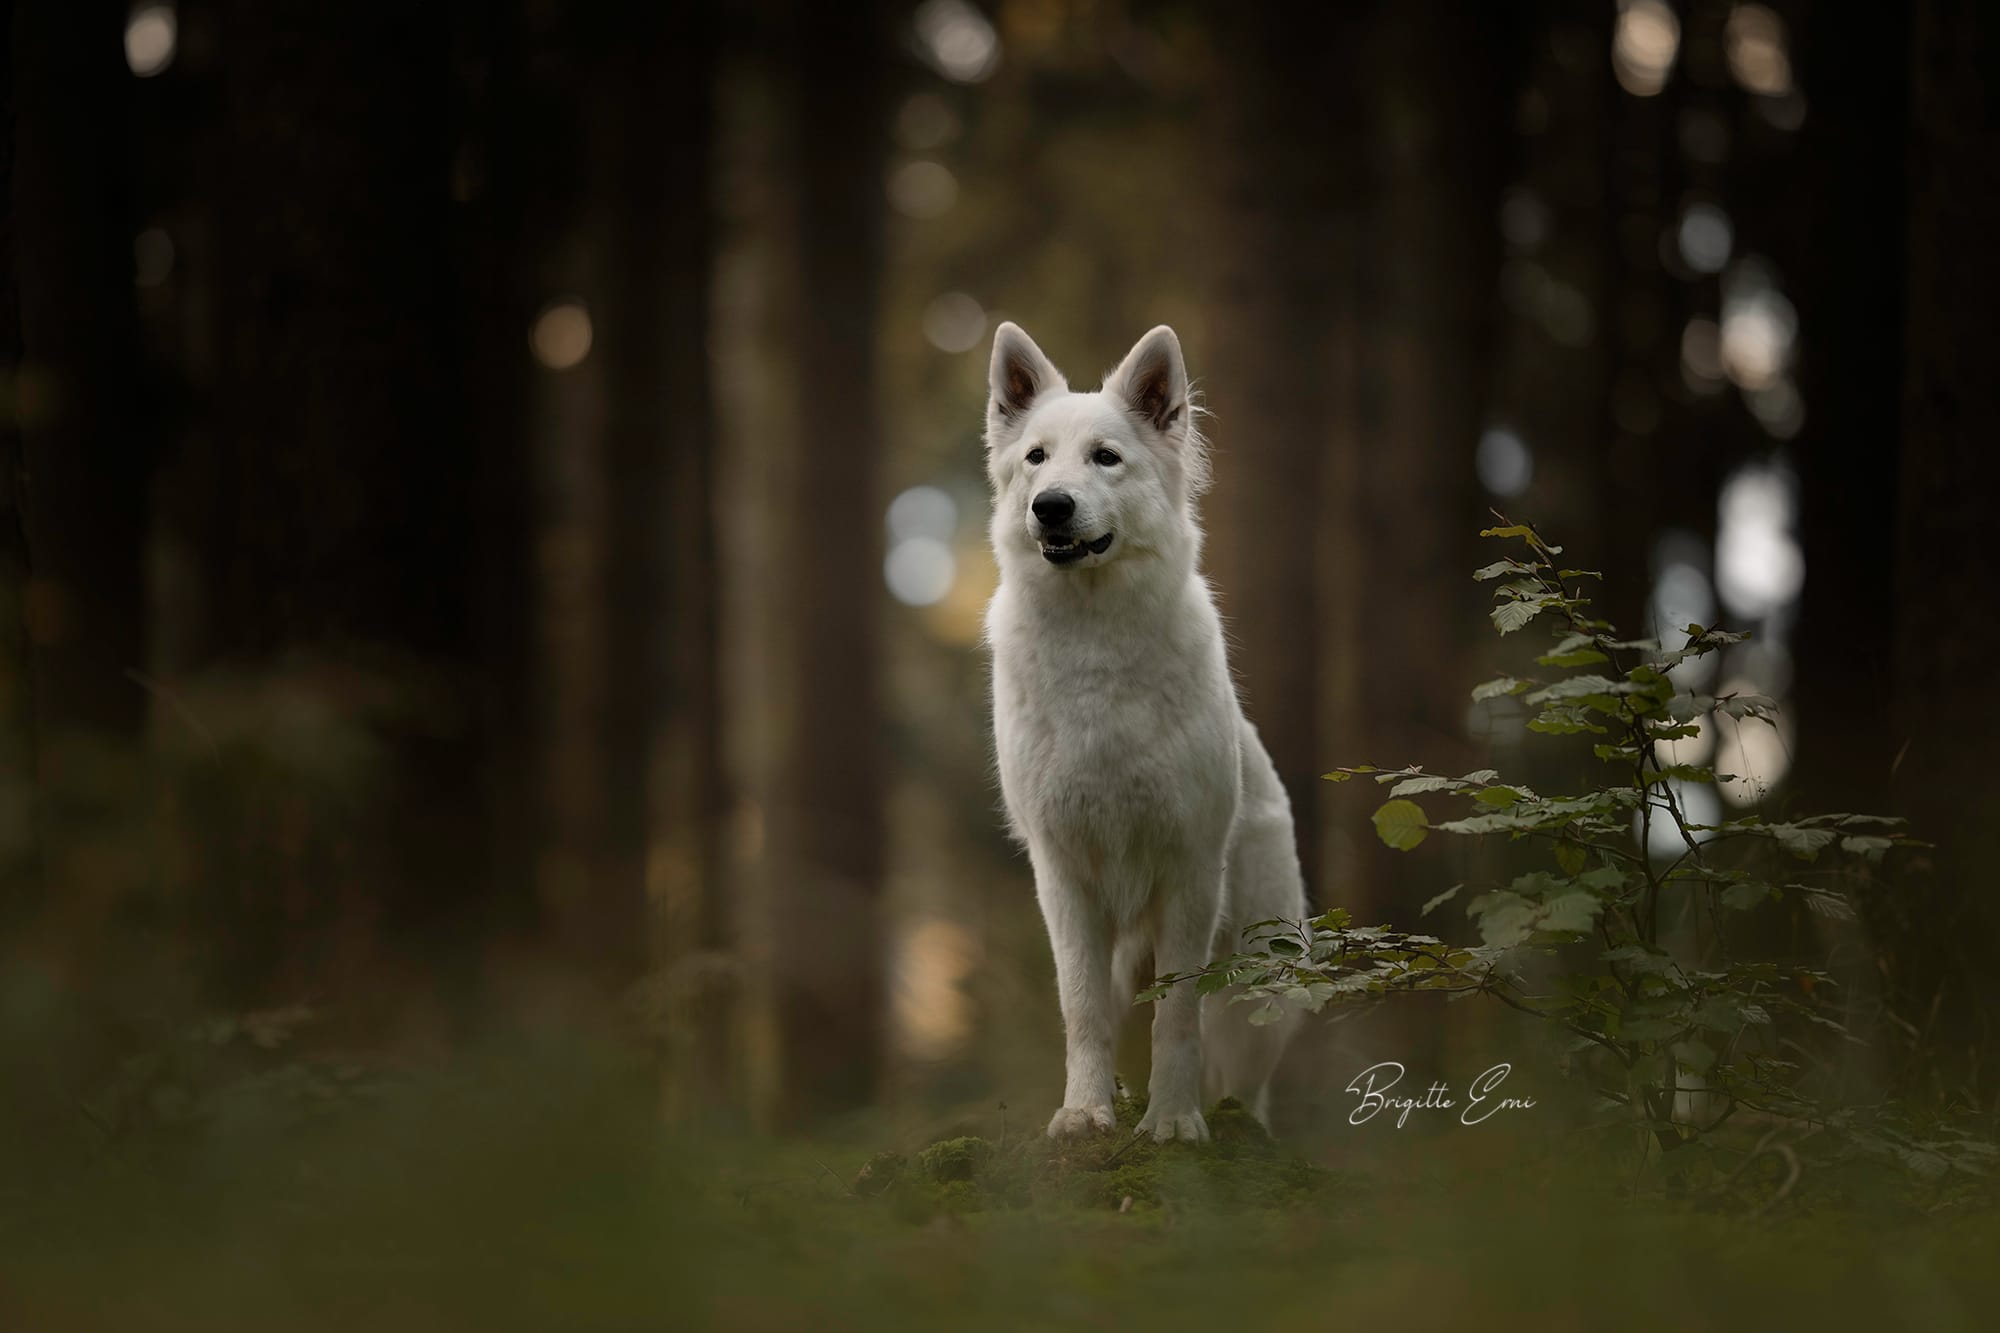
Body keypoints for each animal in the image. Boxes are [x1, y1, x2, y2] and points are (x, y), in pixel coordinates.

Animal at [984, 316, 1312, 1136]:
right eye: (1036, 458)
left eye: (1107, 457)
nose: (1051, 506)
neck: (1096, 645)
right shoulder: (1063, 876)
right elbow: (1081, 1010)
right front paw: (1084, 1115)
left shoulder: (1189, 871)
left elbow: (1179, 1014)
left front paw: (1172, 1122)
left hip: (1257, 986)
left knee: (1245, 1083)